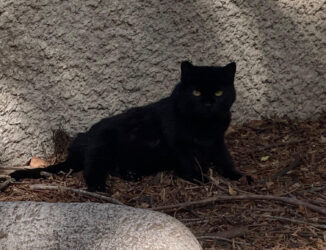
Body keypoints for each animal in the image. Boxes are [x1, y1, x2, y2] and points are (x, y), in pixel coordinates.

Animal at [9, 61, 250, 190]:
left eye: (218, 92)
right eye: (197, 92)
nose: (208, 103)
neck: (205, 125)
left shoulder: (218, 141)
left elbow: (225, 159)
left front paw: (239, 176)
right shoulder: (179, 143)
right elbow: (190, 163)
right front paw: (201, 178)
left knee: (115, 168)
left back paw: (131, 175)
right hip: (101, 146)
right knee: (92, 169)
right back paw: (100, 187)